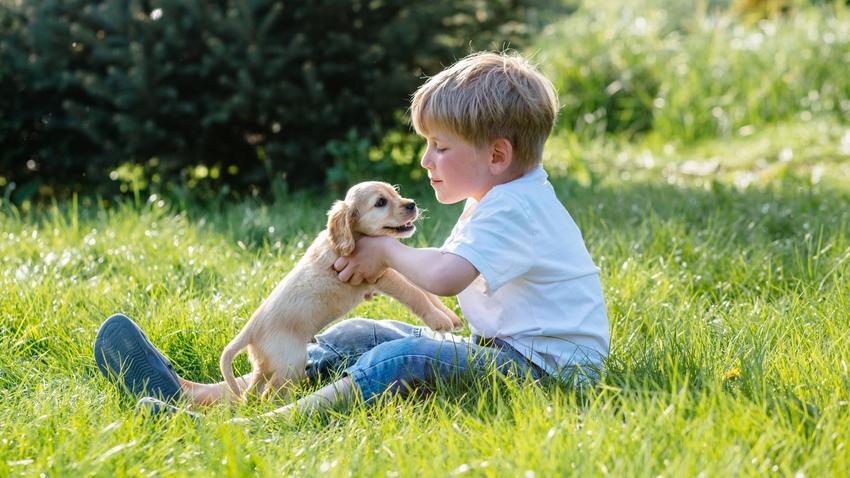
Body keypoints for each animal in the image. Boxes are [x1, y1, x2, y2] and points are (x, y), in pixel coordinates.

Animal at [217, 181, 458, 398]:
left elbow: (425, 290)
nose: (412, 204)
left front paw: (450, 316)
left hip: (269, 366)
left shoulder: (387, 268)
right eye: (380, 202)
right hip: (291, 363)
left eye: (395, 192)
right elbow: (414, 293)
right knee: (271, 394)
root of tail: (251, 330)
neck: (353, 237)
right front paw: (439, 320)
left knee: (252, 393)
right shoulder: (378, 275)